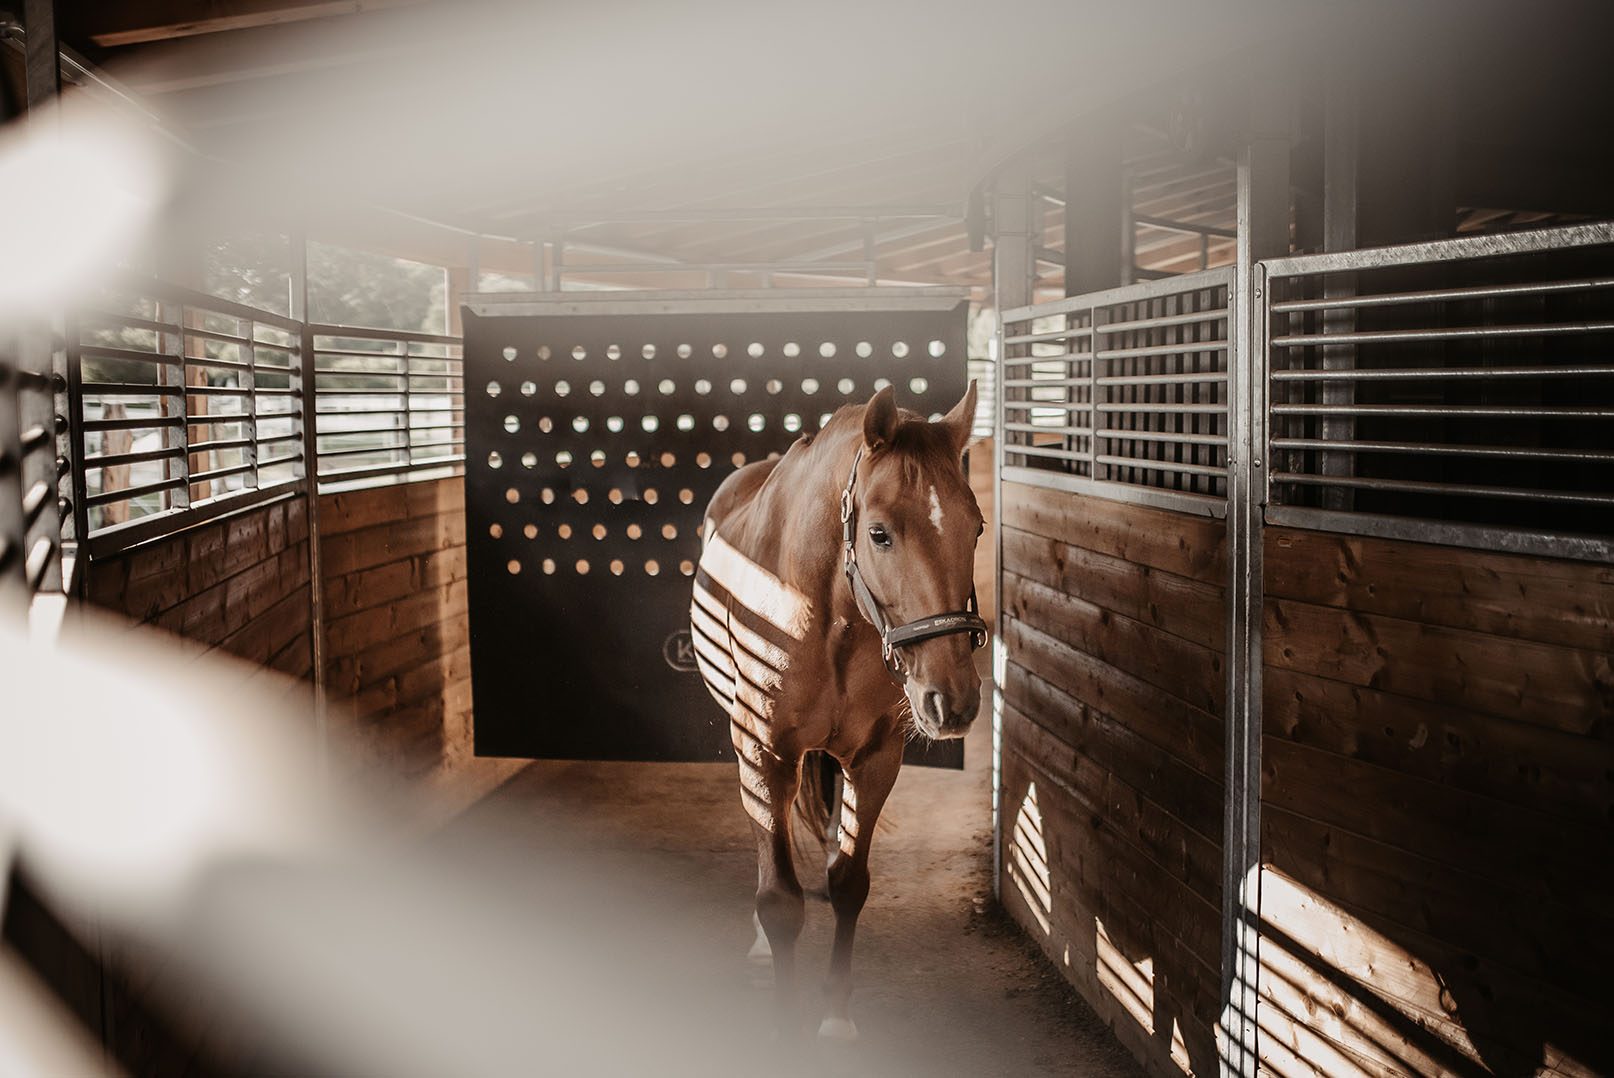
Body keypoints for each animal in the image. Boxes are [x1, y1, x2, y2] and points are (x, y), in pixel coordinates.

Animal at [689, 382, 988, 1039]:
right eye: (878, 534)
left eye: (977, 527)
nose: (952, 699)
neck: (827, 614)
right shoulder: (764, 754)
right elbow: (778, 900)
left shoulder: (875, 759)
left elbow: (850, 882)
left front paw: (835, 1016)